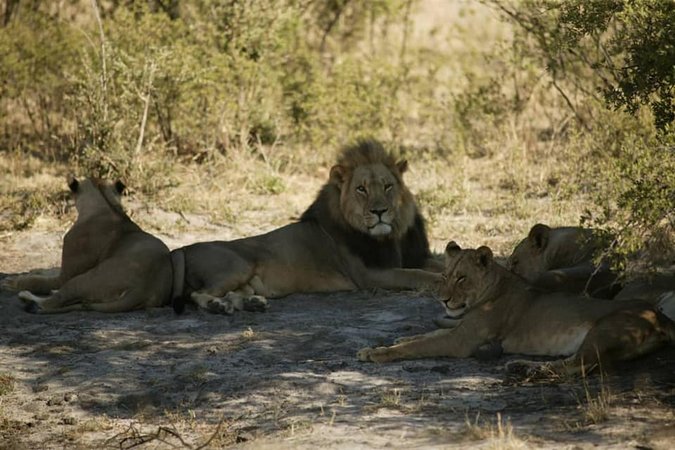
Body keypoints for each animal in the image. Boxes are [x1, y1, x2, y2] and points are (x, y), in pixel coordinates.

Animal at [0, 177, 178, 312]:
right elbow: (46, 272)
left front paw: (12, 282)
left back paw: (26, 297)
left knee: (51, 303)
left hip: (86, 279)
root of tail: (145, 289)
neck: (107, 206)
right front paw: (34, 271)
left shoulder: (66, 275)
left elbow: (38, 281)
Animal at [172, 140, 440, 312]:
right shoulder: (368, 275)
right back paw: (217, 305)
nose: (379, 212)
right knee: (197, 294)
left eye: (387, 186)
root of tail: (182, 249)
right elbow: (416, 275)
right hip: (237, 267)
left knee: (233, 294)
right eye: (361, 189)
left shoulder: (412, 257)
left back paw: (251, 303)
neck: (388, 236)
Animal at [360, 243, 675, 376]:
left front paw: (378, 353)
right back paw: (522, 366)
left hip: (603, 329)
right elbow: (421, 337)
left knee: (578, 366)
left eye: (462, 278)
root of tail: (659, 314)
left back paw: (526, 370)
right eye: (445, 276)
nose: (443, 300)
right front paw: (384, 344)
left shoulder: (462, 341)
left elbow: (418, 345)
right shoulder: (460, 329)